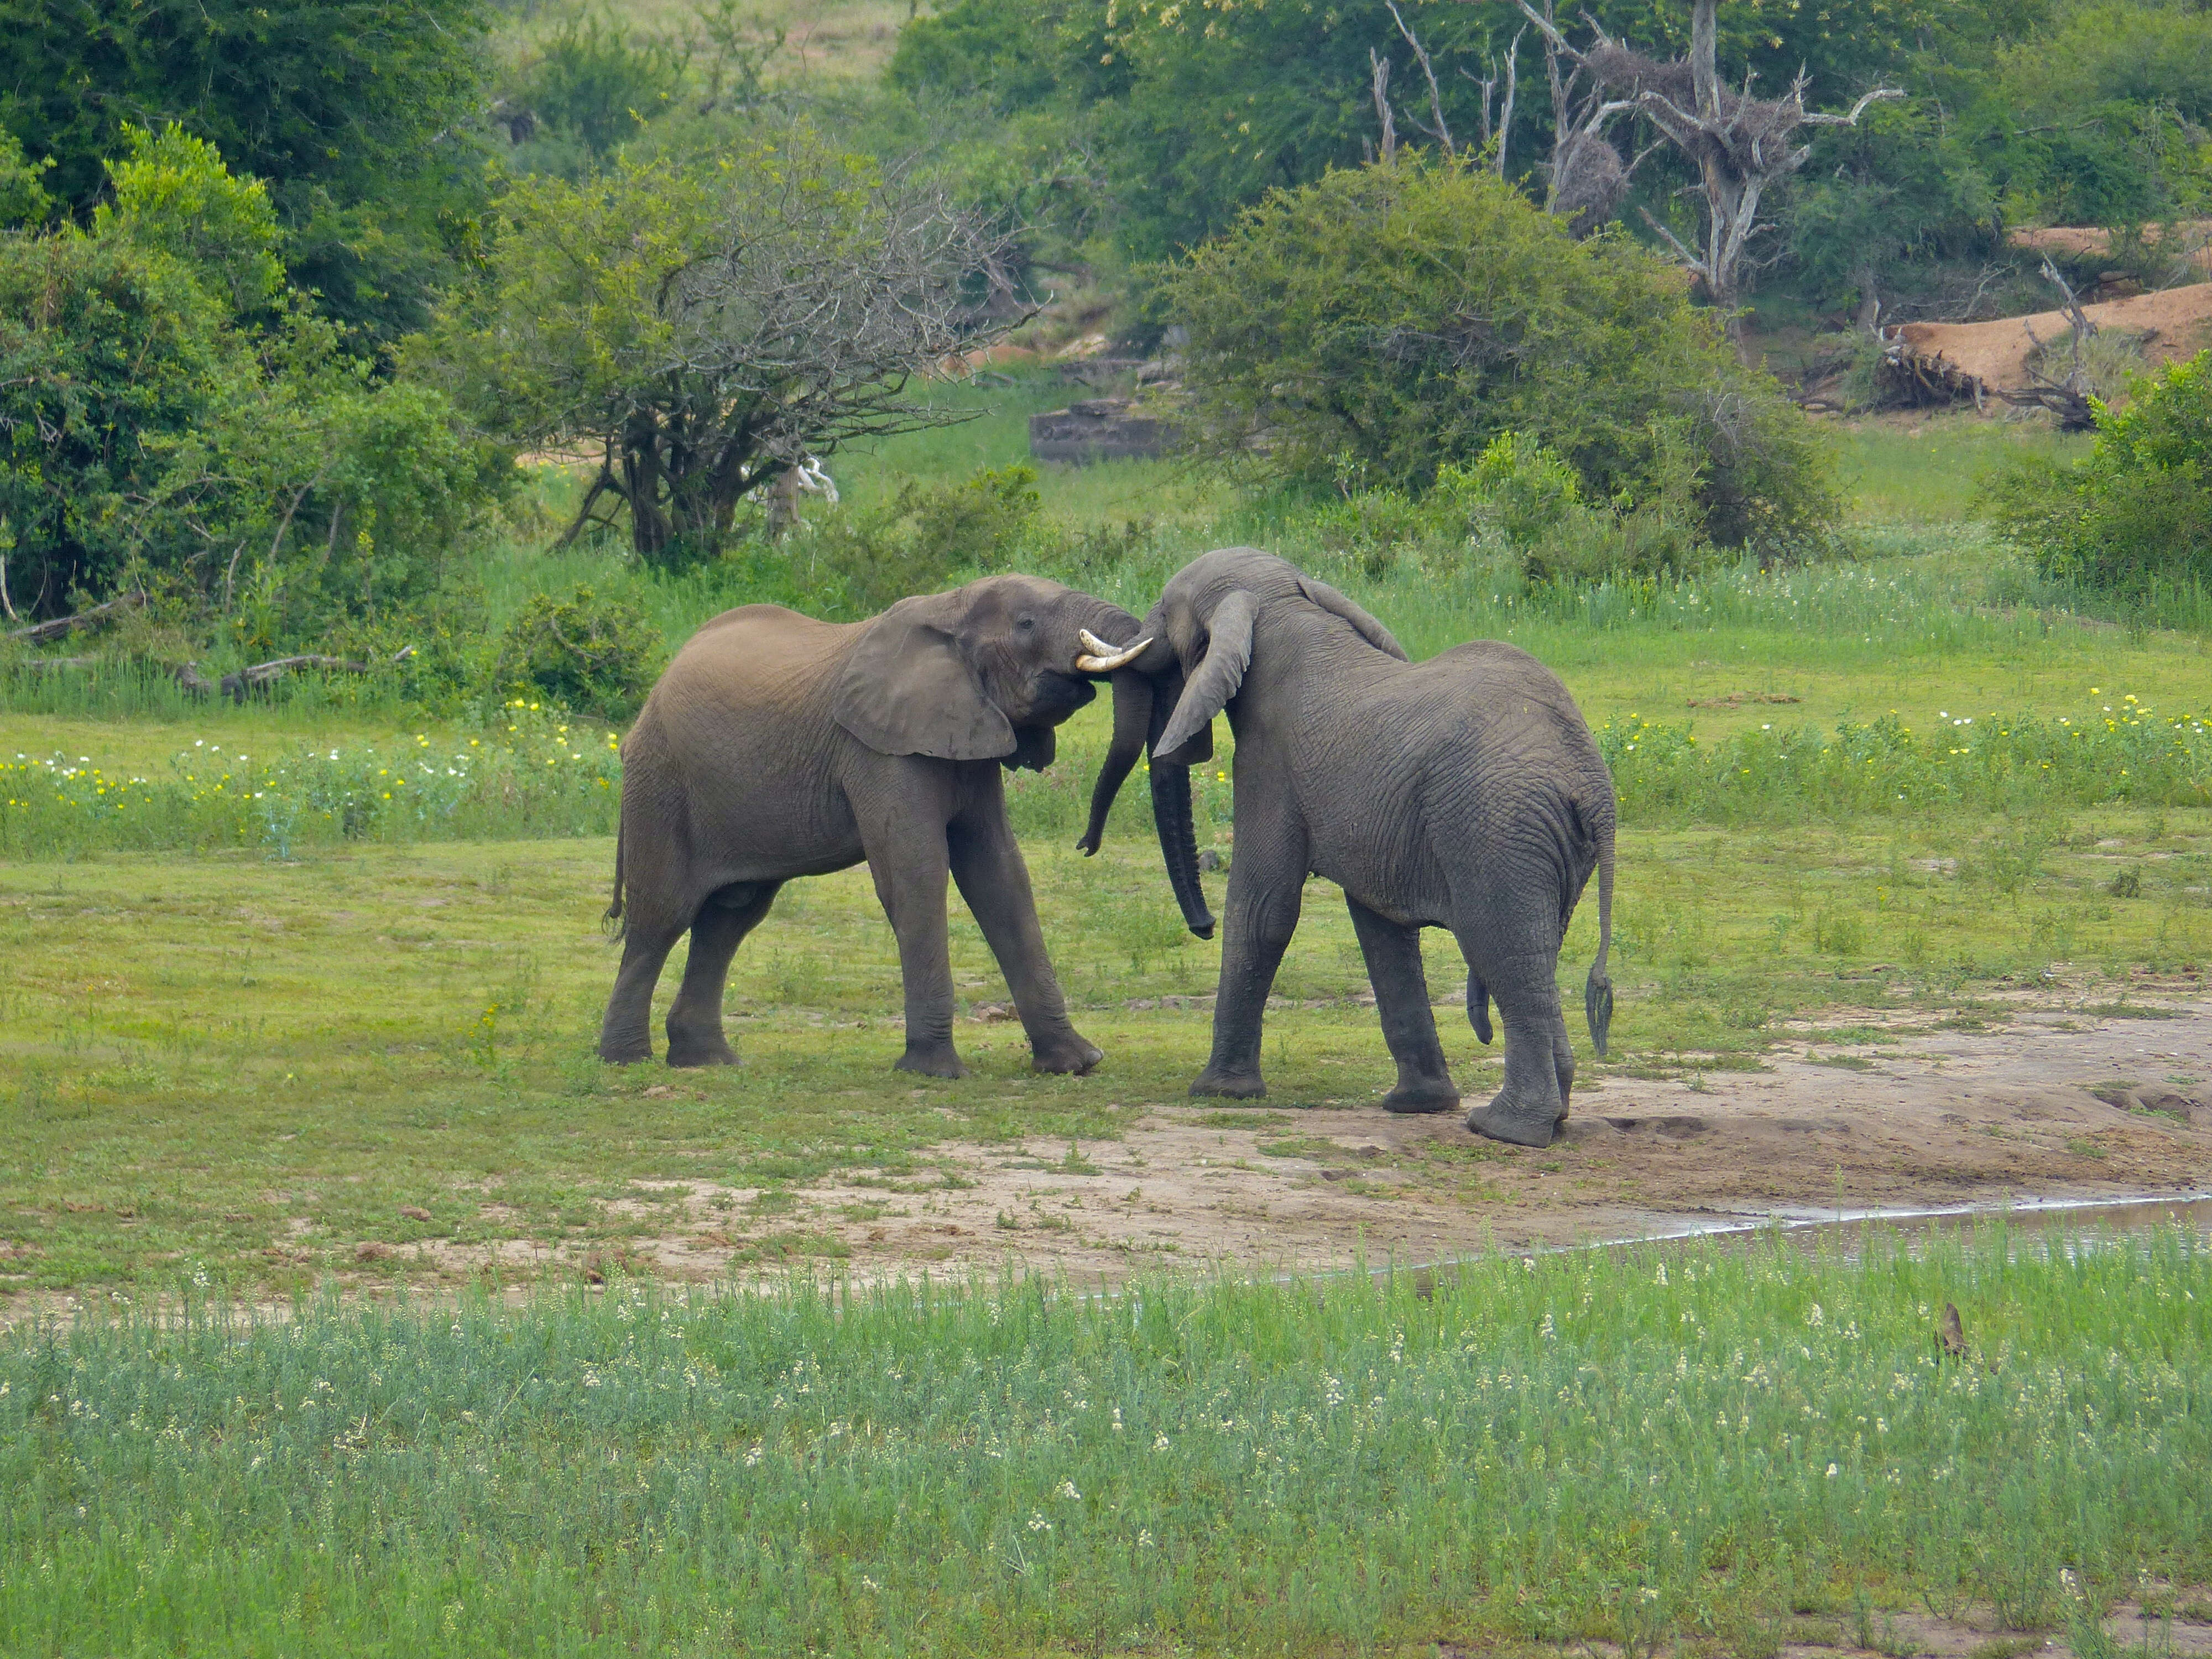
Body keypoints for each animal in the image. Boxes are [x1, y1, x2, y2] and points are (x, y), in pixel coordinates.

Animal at [606, 580, 1159, 1079]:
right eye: (1026, 625)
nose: (1086, 844)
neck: (949, 606)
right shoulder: (879, 751)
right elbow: (917, 875)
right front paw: (934, 1071)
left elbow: (1001, 876)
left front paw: (1077, 1064)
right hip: (660, 783)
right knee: (661, 917)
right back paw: (627, 1060)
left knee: (730, 918)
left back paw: (708, 1061)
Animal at [1079, 553, 1619, 1150]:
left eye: (1163, 607)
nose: (1201, 928)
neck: (1281, 605)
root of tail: (1590, 782)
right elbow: (1380, 927)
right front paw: (1416, 1106)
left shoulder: (1269, 762)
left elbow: (1263, 910)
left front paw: (1217, 1092)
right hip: (1544, 842)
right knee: (1538, 951)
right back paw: (1553, 1118)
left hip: (1496, 828)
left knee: (1504, 948)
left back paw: (1505, 1129)